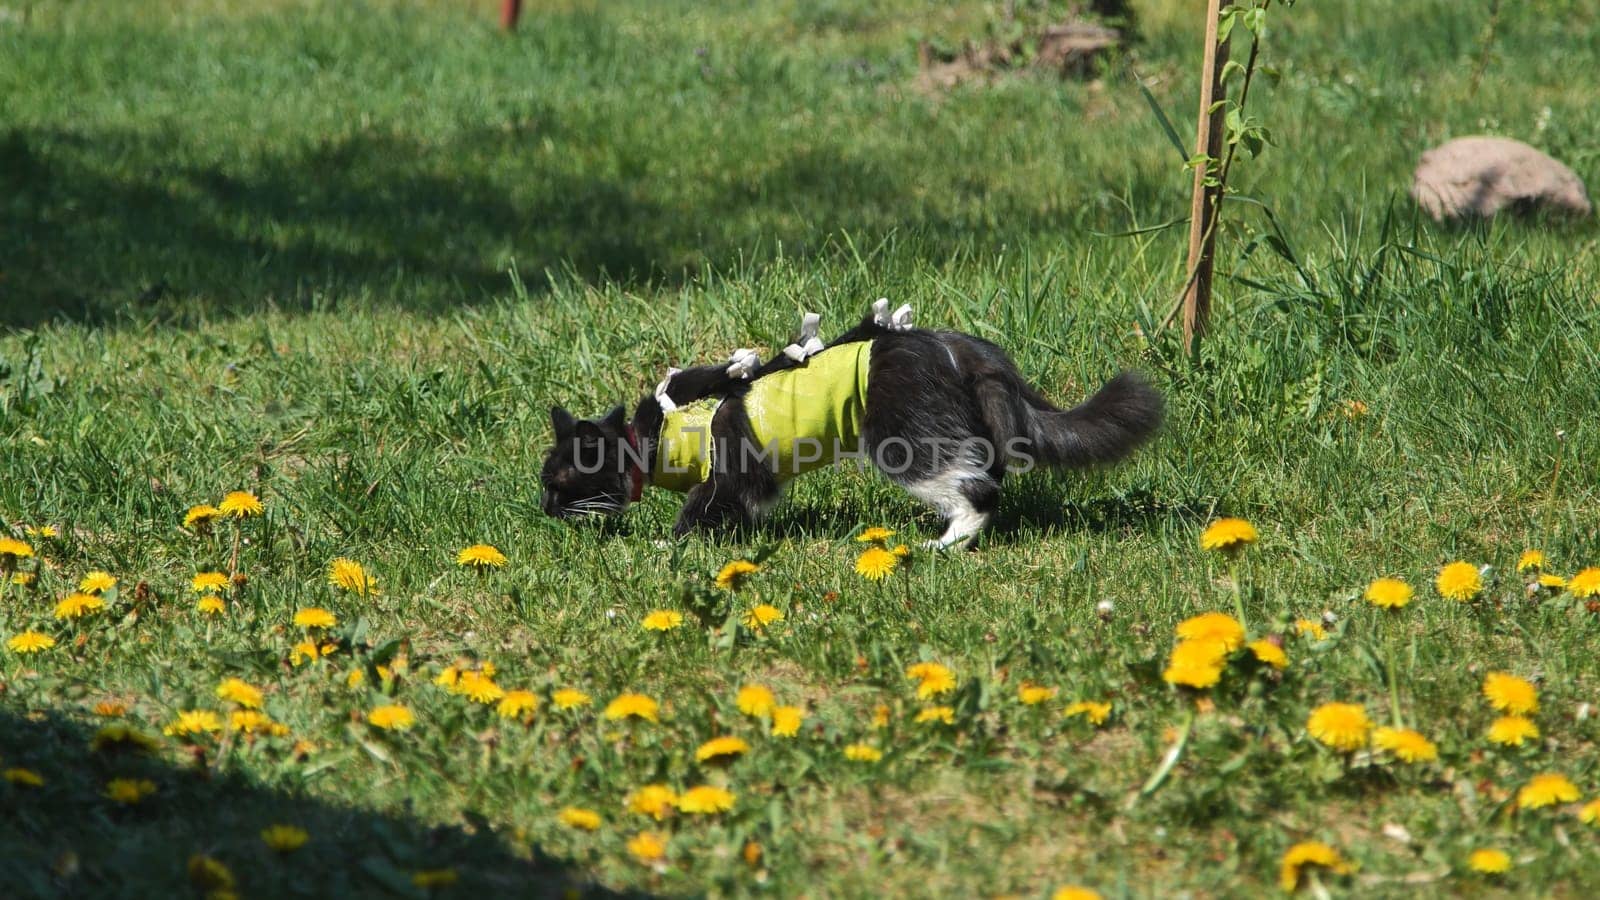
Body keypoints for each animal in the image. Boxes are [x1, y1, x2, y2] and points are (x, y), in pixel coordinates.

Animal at [540, 305, 1164, 547]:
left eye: (557, 483)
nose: (543, 511)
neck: (653, 437)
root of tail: (954, 348)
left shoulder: (729, 470)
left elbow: (700, 507)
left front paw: (675, 545)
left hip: (901, 438)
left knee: (976, 487)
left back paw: (948, 541)